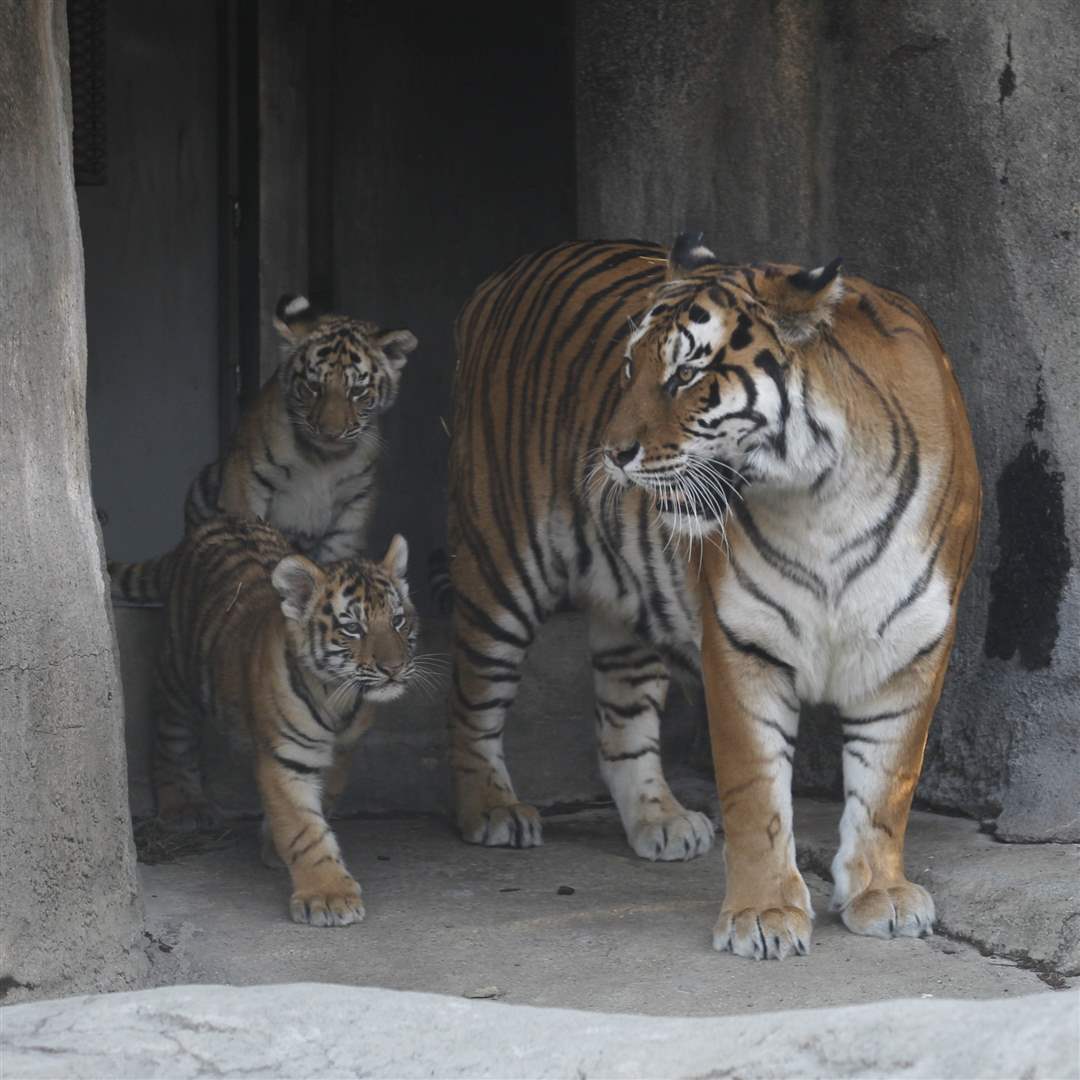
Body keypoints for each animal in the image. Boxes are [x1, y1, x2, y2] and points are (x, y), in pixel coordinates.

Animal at [108, 294, 417, 603]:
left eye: (357, 391)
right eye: (313, 387)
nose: (330, 433)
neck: (323, 458)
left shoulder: (354, 509)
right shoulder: (245, 484)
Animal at [149, 515, 418, 926]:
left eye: (398, 621)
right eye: (353, 628)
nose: (394, 668)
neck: (337, 697)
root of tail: (220, 519)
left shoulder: (341, 752)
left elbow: (324, 799)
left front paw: (275, 847)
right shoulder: (286, 758)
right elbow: (303, 829)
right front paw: (329, 896)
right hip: (177, 672)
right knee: (171, 734)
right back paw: (182, 807)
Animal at [449, 236, 980, 961]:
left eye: (684, 376)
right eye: (628, 368)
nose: (610, 455)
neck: (824, 499)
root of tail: (504, 274)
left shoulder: (910, 644)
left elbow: (886, 784)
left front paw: (880, 894)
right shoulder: (742, 643)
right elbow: (756, 795)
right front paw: (764, 914)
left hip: (629, 607)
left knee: (621, 725)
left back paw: (662, 821)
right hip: (499, 565)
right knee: (471, 701)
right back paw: (492, 810)